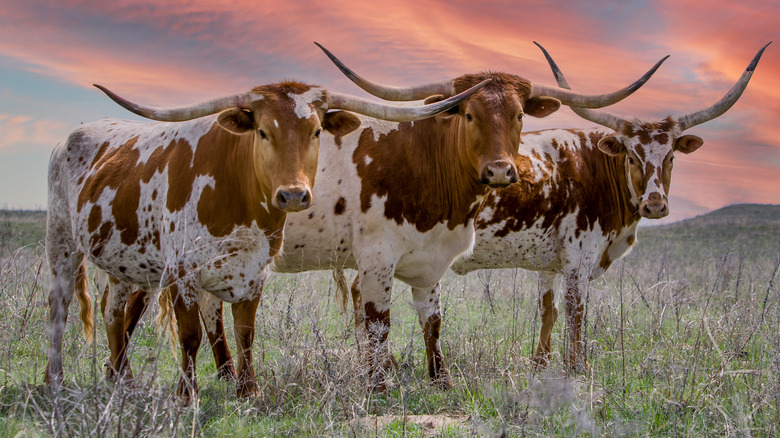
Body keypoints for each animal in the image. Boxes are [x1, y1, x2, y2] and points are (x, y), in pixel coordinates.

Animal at [47, 78, 482, 400]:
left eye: (317, 131)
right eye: (262, 131)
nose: (293, 195)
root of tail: (72, 135)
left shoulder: (254, 272)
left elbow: (245, 331)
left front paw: (248, 390)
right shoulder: (183, 272)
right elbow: (189, 337)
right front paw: (187, 395)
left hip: (124, 264)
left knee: (113, 312)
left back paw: (122, 379)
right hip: (62, 245)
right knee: (60, 309)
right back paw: (56, 379)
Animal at [140, 42, 664, 390]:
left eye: (518, 115)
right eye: (468, 114)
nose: (501, 170)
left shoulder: (430, 261)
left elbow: (432, 322)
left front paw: (440, 379)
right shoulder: (375, 261)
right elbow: (377, 323)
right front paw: (377, 384)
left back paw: (227, 374)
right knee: (209, 312)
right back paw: (228, 375)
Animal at [448, 42, 772, 372]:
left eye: (671, 157)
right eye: (631, 157)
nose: (655, 205)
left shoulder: (549, 265)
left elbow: (548, 312)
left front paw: (541, 365)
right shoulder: (579, 261)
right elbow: (575, 315)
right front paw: (577, 368)